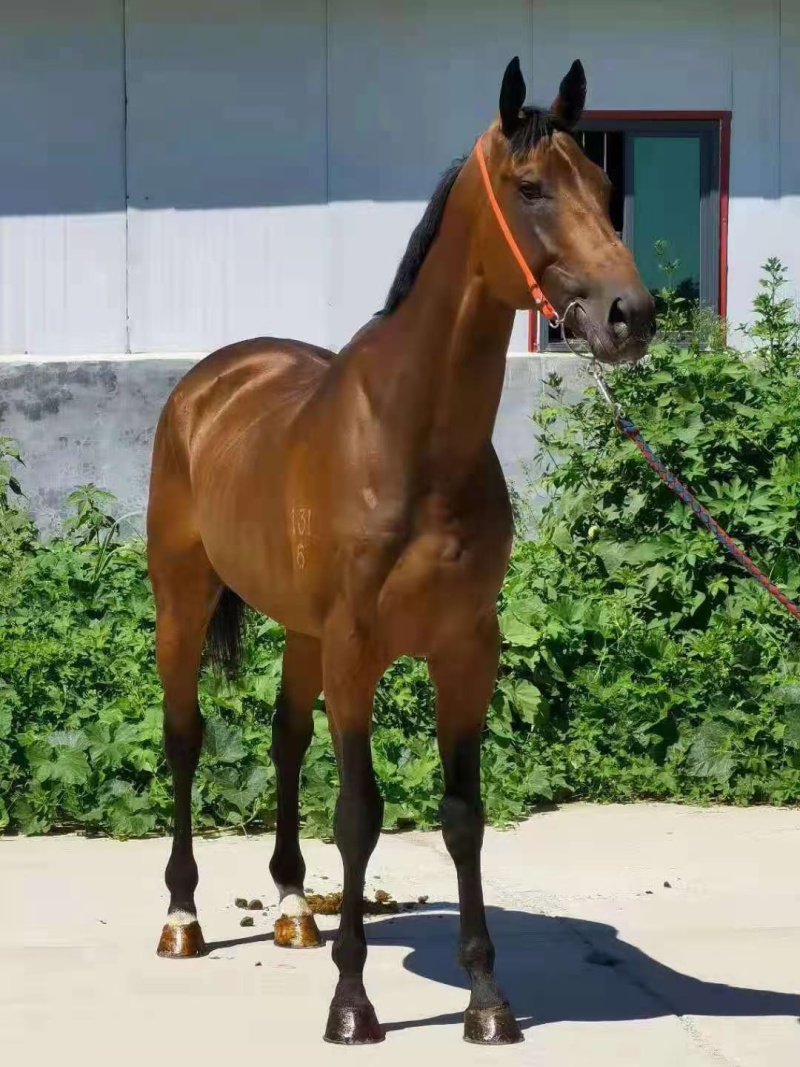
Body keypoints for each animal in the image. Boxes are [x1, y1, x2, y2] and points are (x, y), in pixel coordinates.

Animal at [146, 56, 656, 1046]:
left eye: (605, 185)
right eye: (531, 189)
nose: (632, 315)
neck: (413, 444)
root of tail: (208, 382)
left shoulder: (466, 650)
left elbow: (462, 814)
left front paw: (487, 1000)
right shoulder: (357, 652)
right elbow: (360, 812)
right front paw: (353, 1004)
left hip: (301, 633)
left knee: (284, 737)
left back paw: (295, 910)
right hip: (184, 604)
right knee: (185, 738)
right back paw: (183, 918)